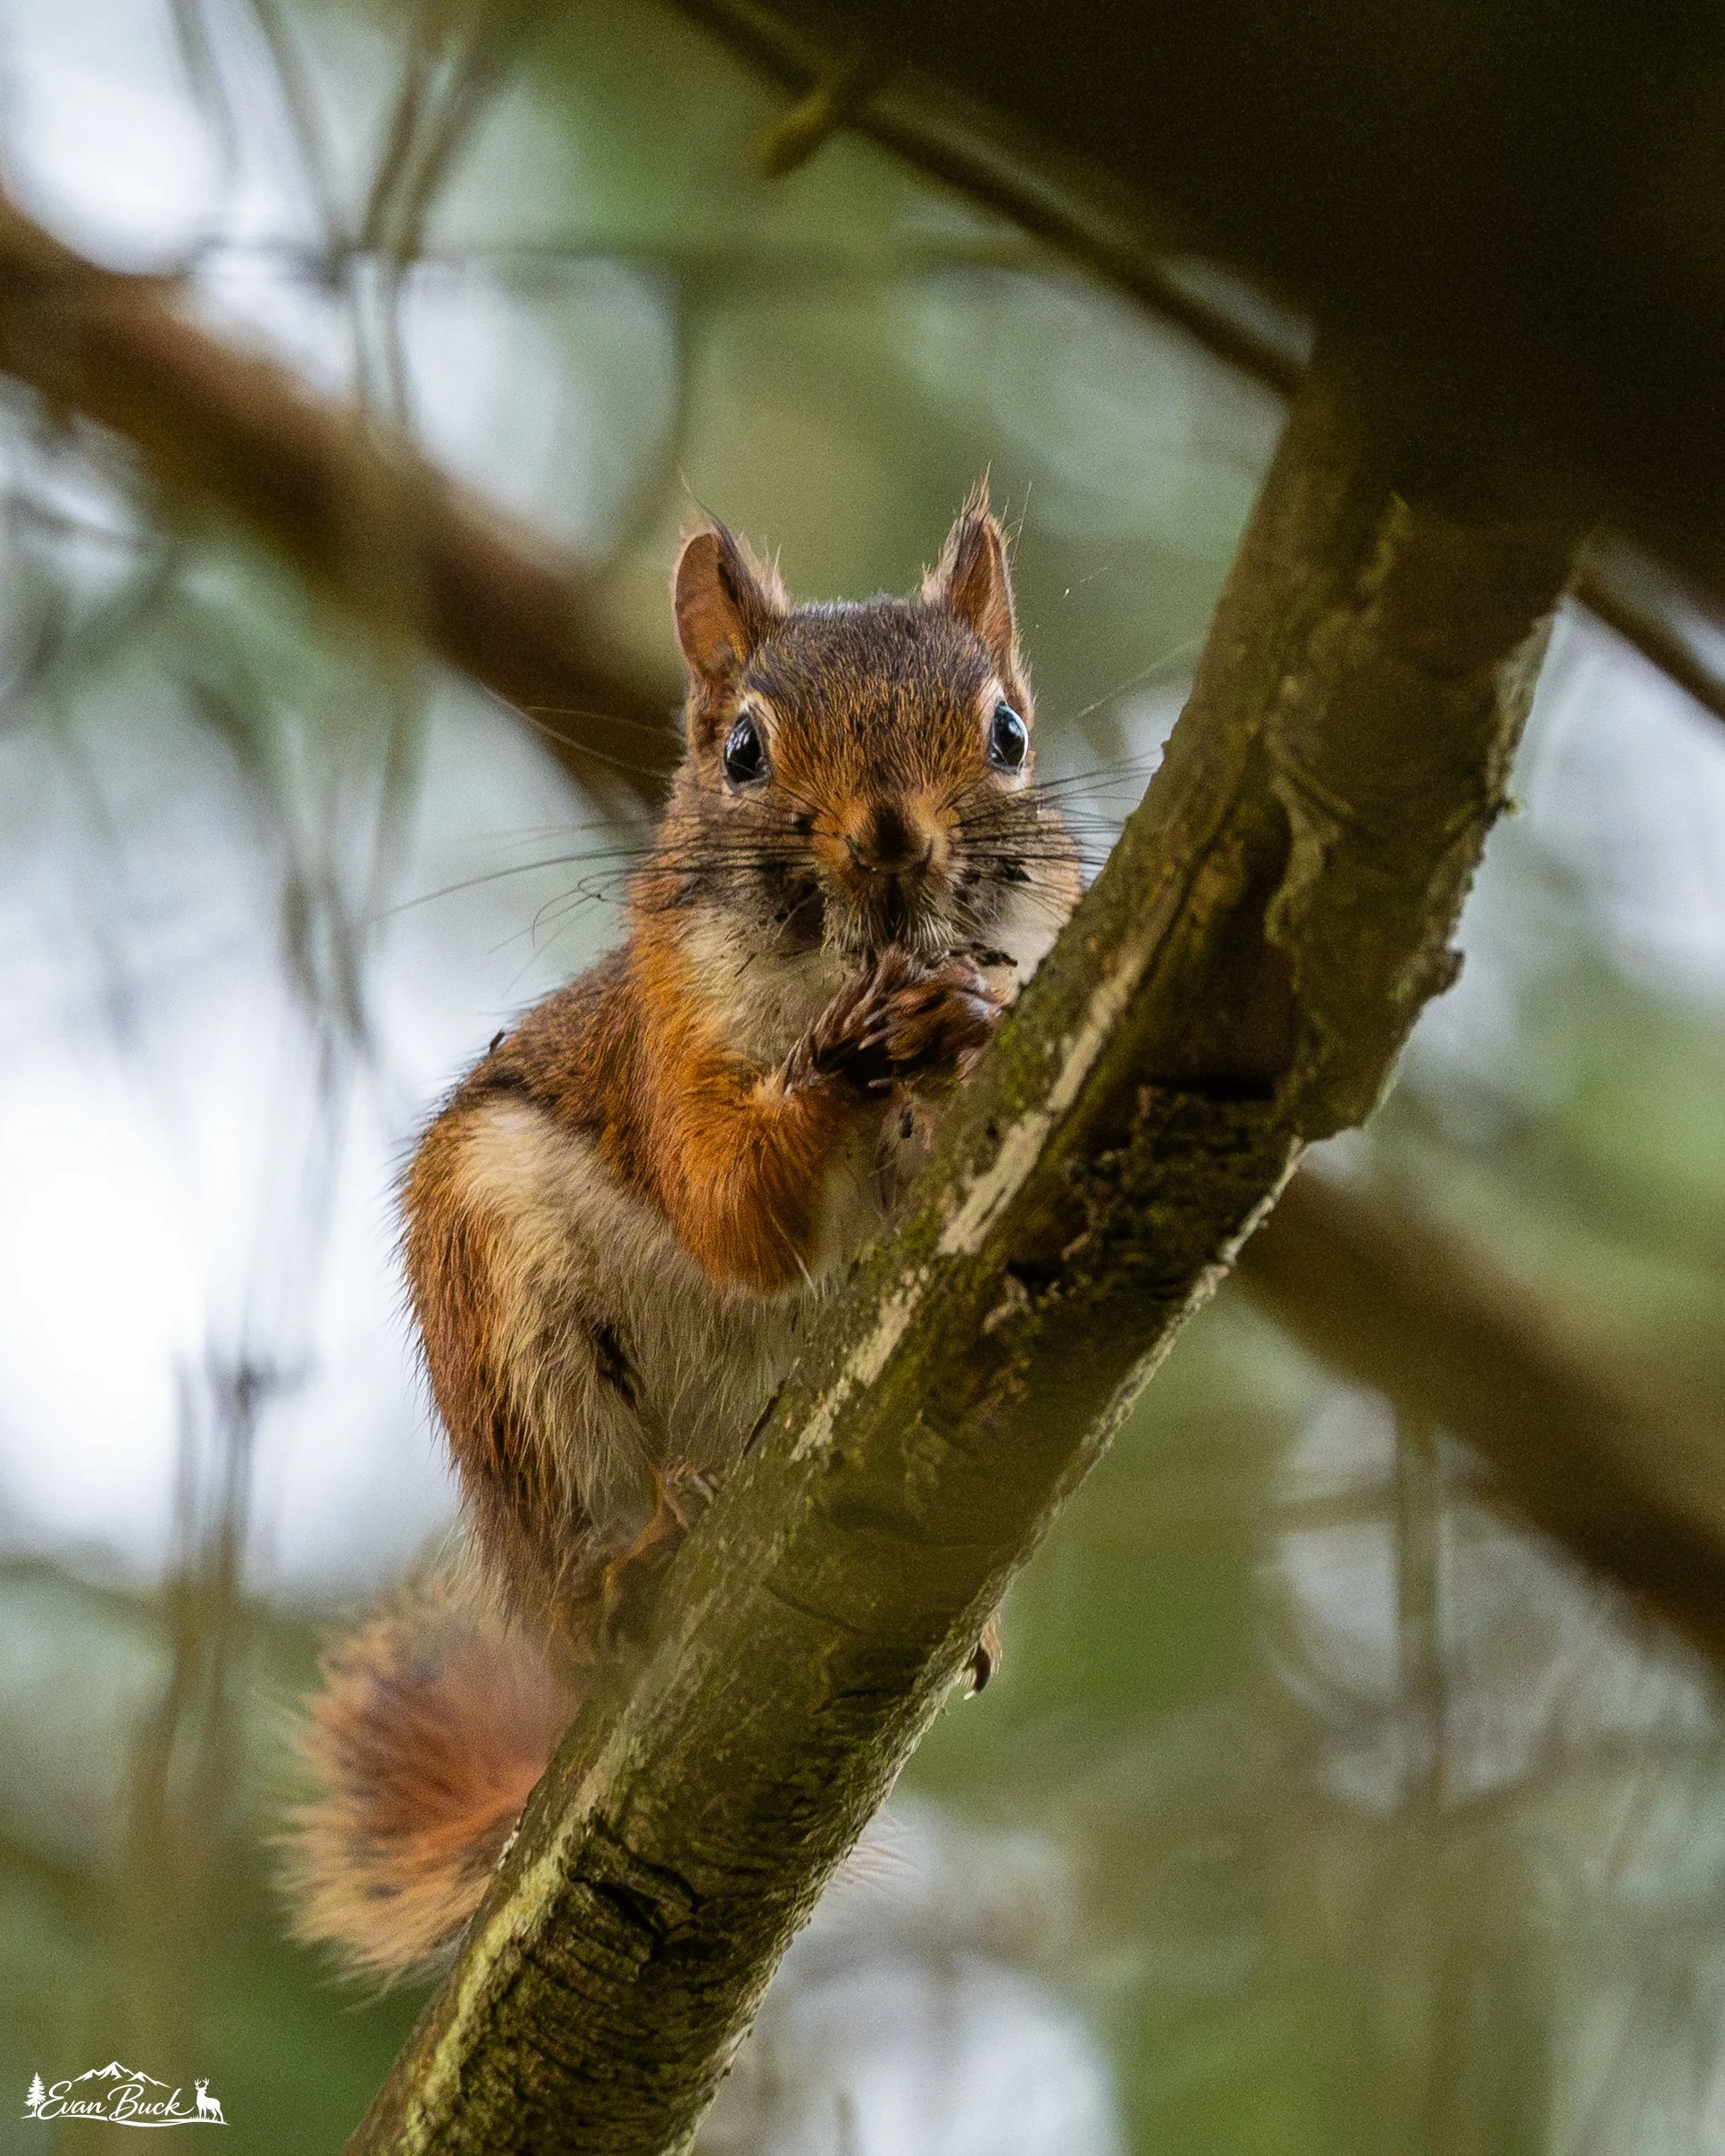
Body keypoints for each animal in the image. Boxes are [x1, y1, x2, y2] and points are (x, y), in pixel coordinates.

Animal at [280, 487, 1081, 1983]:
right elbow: (730, 1207)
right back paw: (641, 1556)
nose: (890, 835)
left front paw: (965, 1026)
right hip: (517, 1346)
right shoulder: (668, 1052)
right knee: (589, 1561)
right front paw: (839, 1070)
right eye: (742, 749)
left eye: (1007, 732)